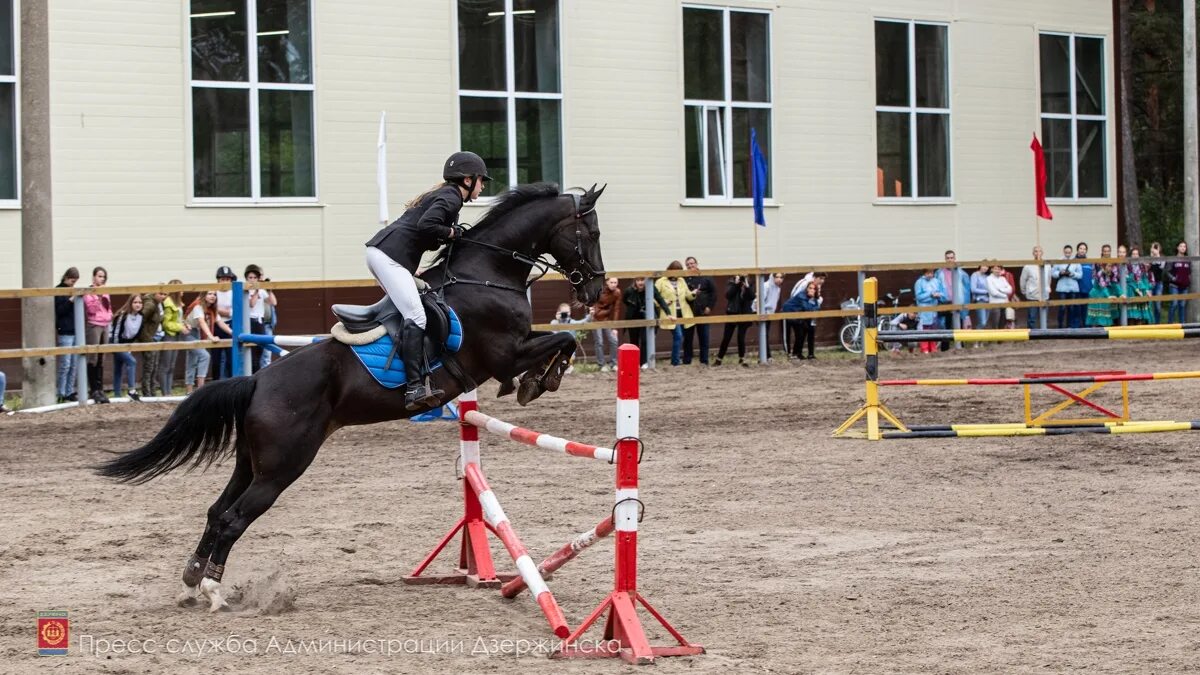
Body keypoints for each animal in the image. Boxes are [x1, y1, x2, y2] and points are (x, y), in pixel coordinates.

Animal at [94, 180, 609, 610]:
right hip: (283, 465)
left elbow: (562, 340)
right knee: (233, 518)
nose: (596, 290)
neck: (487, 272)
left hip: (251, 461)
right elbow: (565, 340)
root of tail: (258, 380)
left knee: (217, 509)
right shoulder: (504, 353)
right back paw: (213, 590)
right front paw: (538, 382)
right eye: (591, 233)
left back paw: (191, 581)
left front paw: (534, 382)